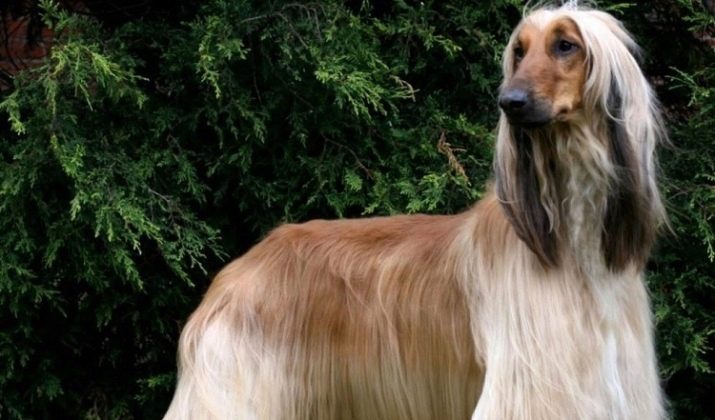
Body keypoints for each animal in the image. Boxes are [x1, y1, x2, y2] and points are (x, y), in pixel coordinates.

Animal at [165, 4, 666, 419]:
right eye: (519, 52)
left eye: (566, 45)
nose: (510, 102)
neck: (573, 243)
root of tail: (235, 272)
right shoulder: (535, 388)